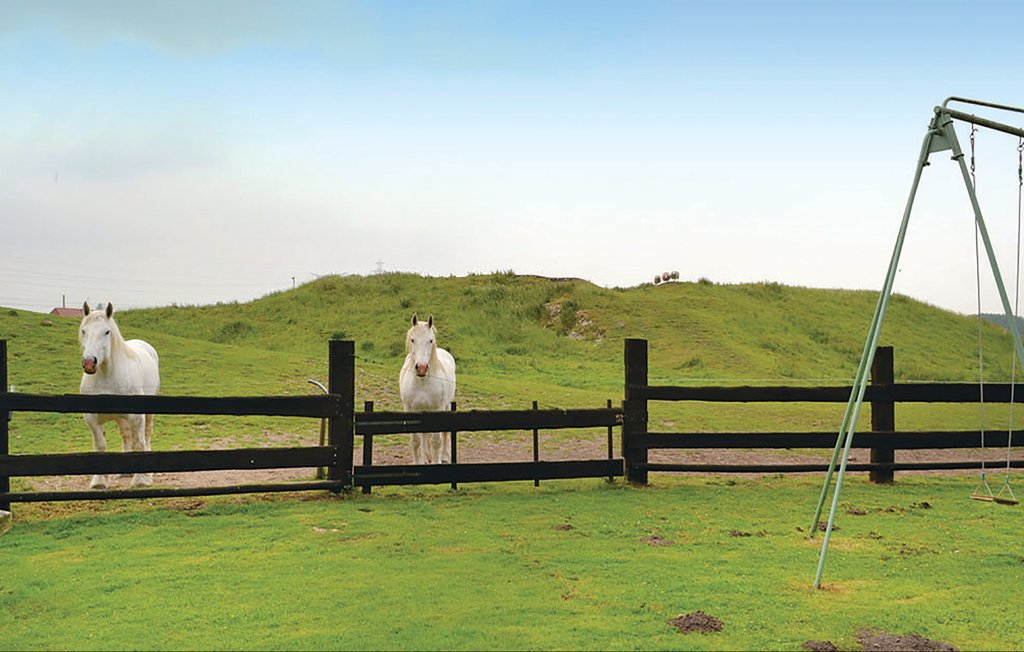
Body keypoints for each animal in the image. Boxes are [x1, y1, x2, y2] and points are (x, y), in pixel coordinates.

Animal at [79, 302, 160, 485]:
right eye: (84, 331)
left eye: (107, 331)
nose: (89, 363)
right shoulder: (91, 418)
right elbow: (100, 445)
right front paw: (99, 481)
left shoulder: (137, 417)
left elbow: (138, 443)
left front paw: (140, 480)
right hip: (120, 418)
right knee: (126, 435)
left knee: (146, 435)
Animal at [399, 313, 456, 462]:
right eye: (412, 340)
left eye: (430, 340)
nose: (421, 367)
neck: (422, 382)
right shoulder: (410, 410)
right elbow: (415, 441)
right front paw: (418, 462)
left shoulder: (438, 409)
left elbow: (436, 441)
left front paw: (436, 461)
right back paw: (425, 458)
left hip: (447, 405)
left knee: (445, 434)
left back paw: (444, 457)